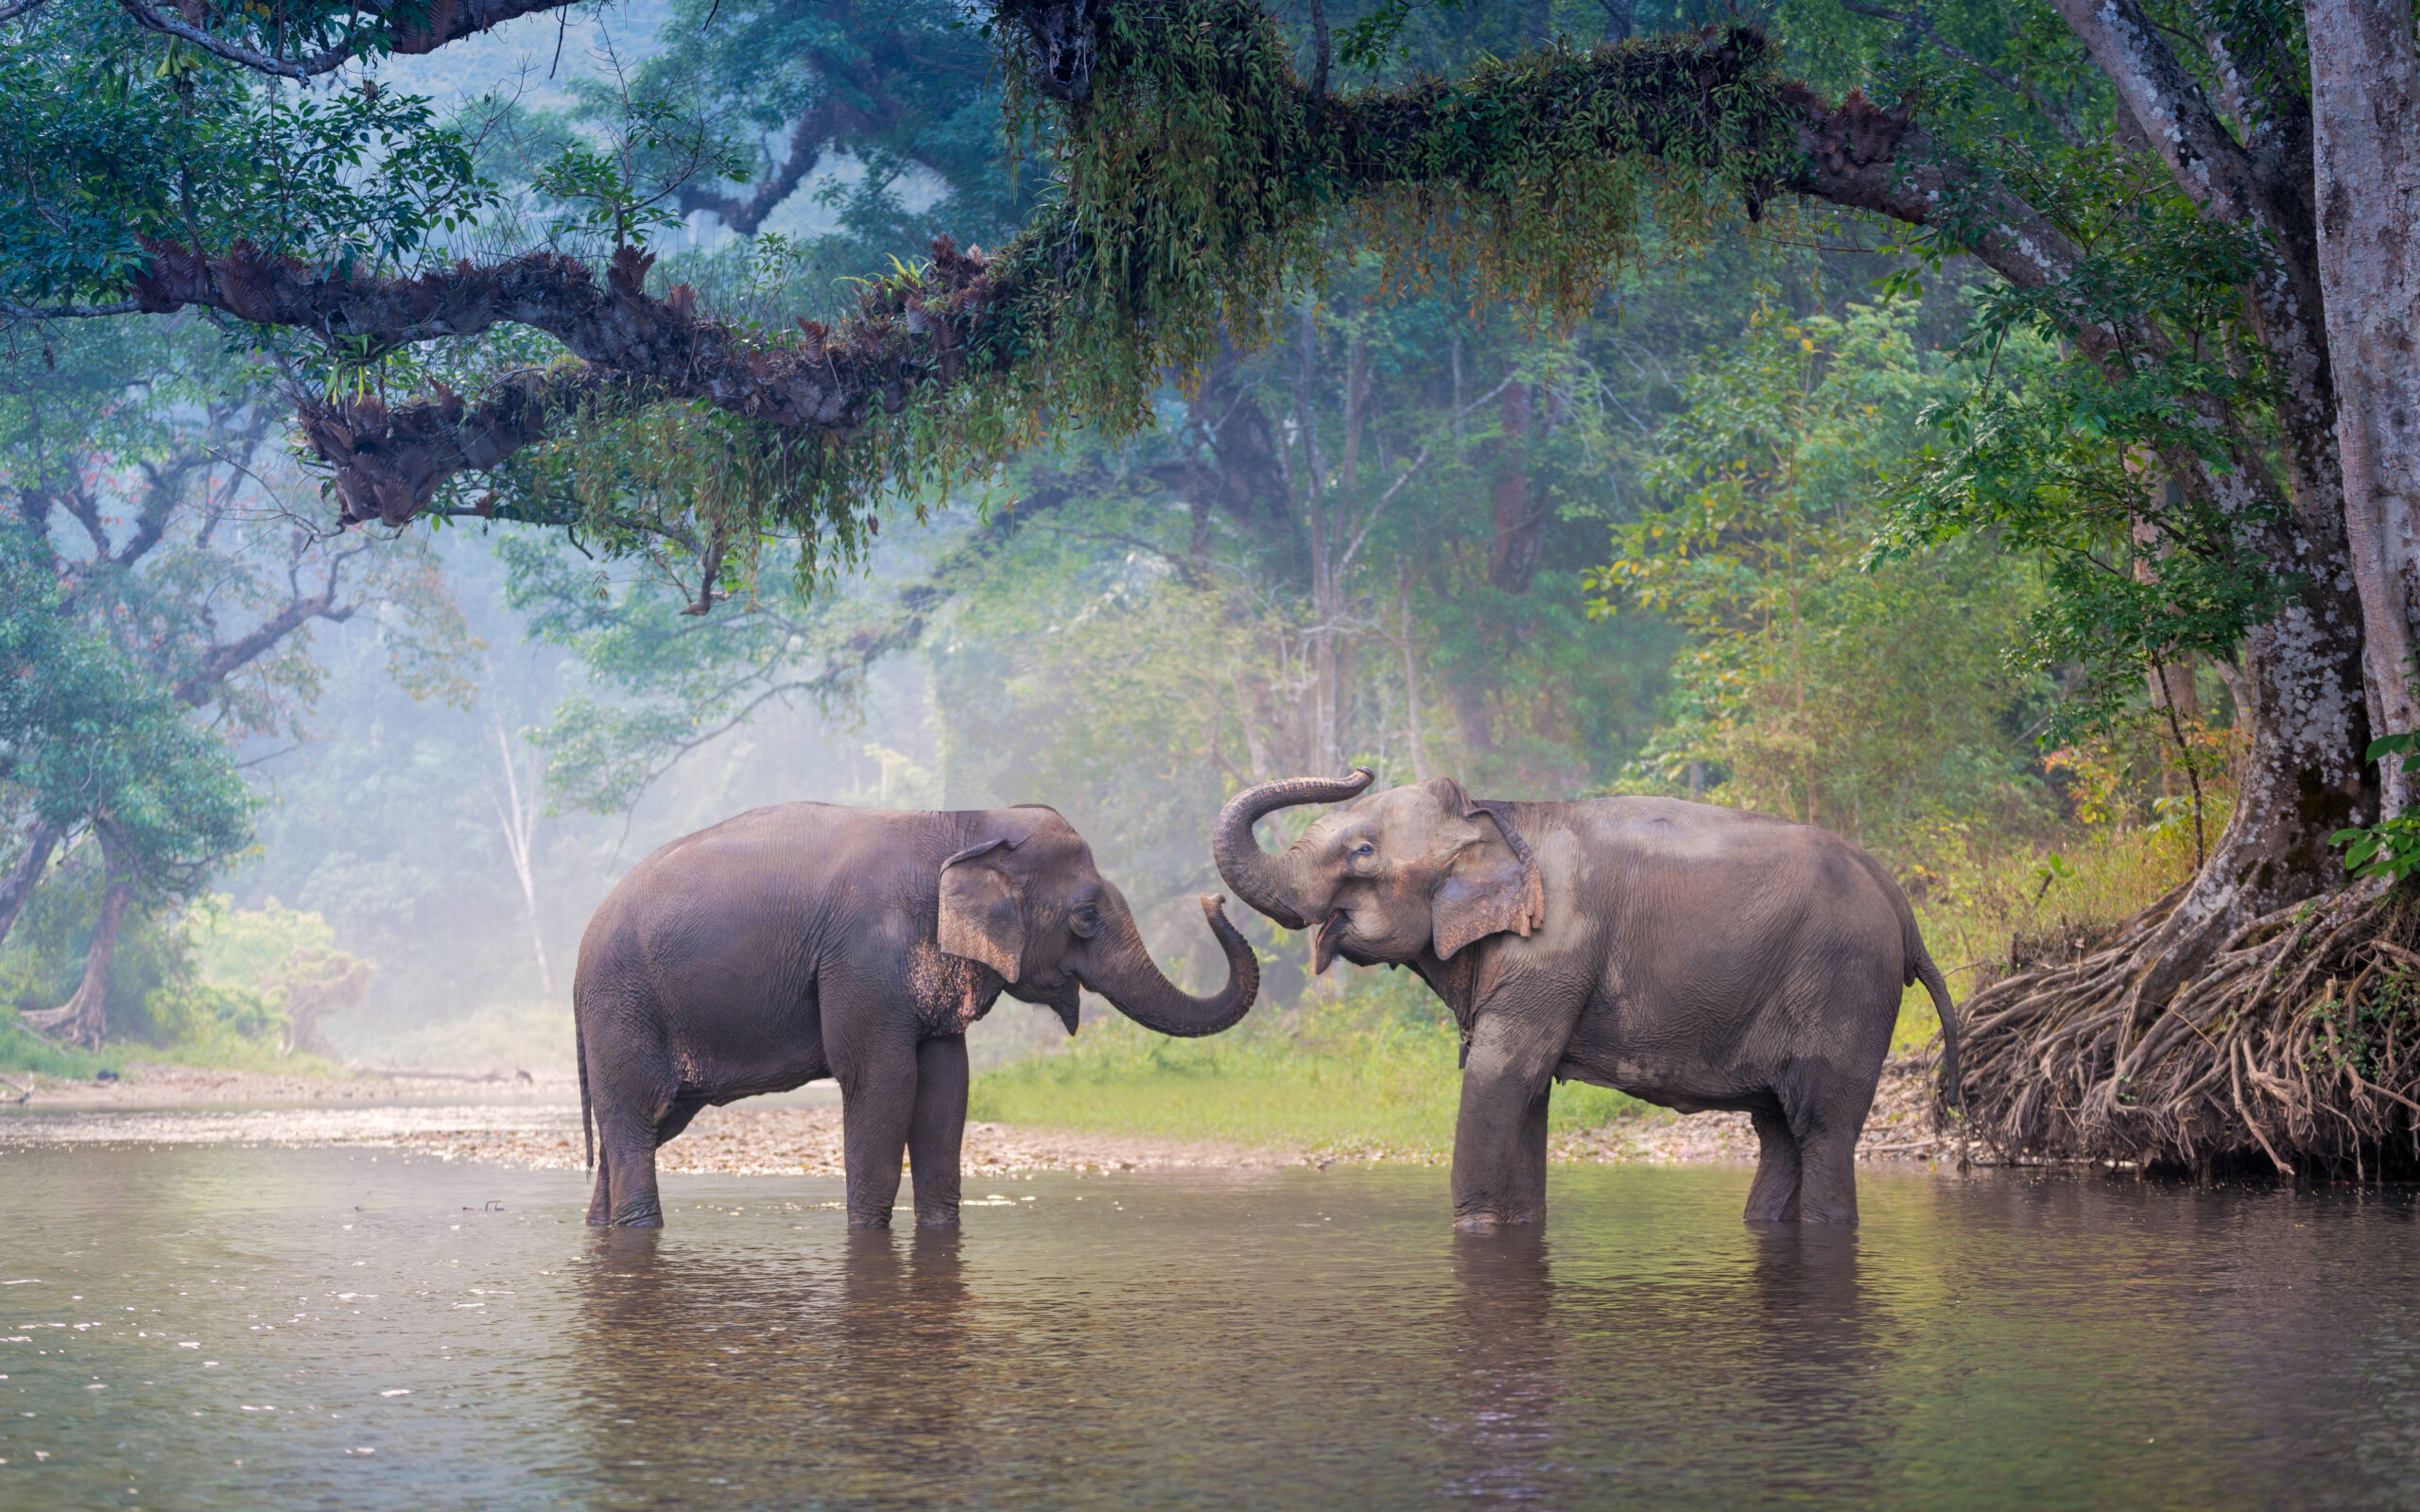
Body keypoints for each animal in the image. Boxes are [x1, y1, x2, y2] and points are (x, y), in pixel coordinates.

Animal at [574, 801, 1258, 1228]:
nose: (1214, 899)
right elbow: (883, 1080)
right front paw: (867, 1233)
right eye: (1086, 916)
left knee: (644, 1126)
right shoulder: (864, 955)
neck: (963, 823)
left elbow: (946, 1087)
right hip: (624, 1005)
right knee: (635, 1119)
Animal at [1212, 770, 1957, 1228]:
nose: (1360, 768)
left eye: (1363, 852)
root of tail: (1903, 908)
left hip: (1845, 985)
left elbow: (1500, 1078)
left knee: (1822, 1129)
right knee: (1778, 1131)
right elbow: (1525, 1094)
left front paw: (1473, 1229)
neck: (1497, 814)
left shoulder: (1553, 952)